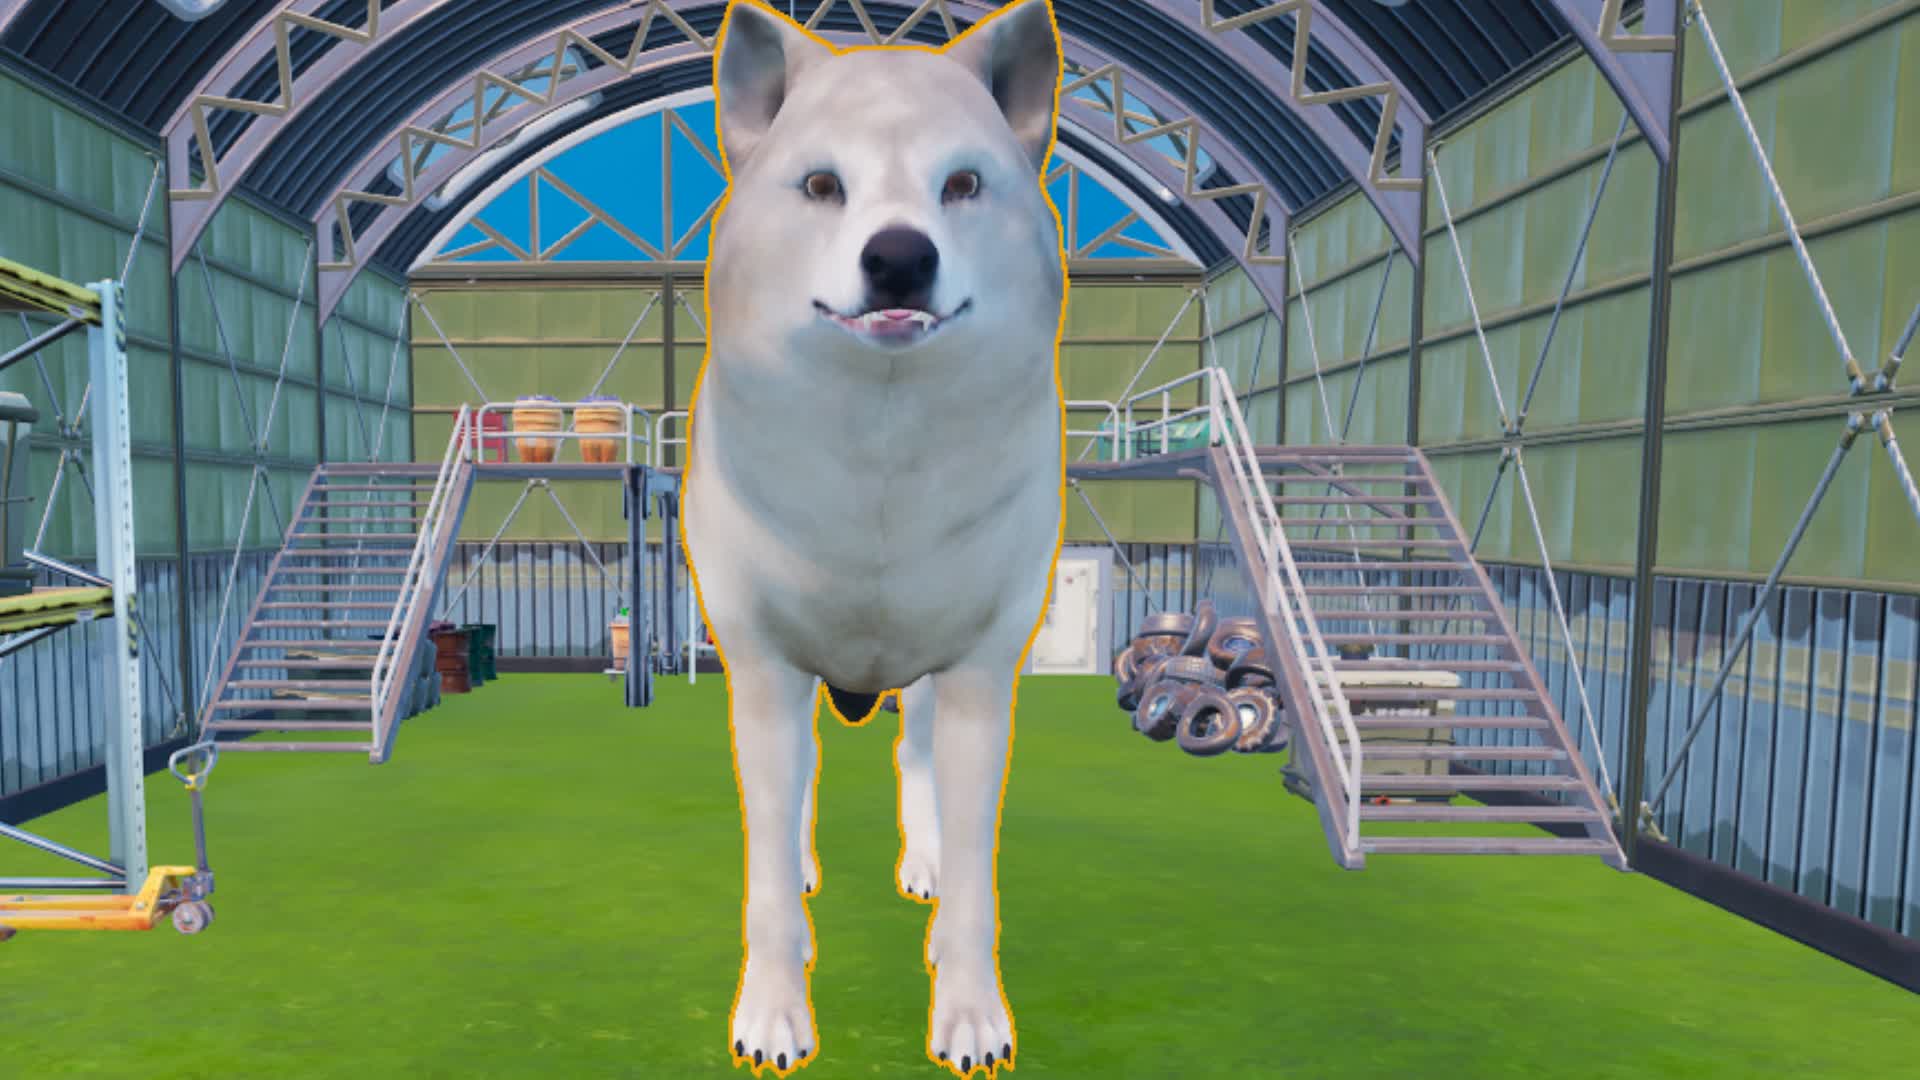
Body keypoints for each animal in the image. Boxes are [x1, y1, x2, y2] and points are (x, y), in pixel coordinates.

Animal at [680, 0, 1066, 1074]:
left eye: (963, 185)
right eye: (822, 186)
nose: (898, 257)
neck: (879, 482)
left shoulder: (980, 673)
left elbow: (976, 880)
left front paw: (971, 1019)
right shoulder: (764, 669)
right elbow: (767, 870)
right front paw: (772, 1019)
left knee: (914, 764)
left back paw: (922, 870)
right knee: (806, 793)